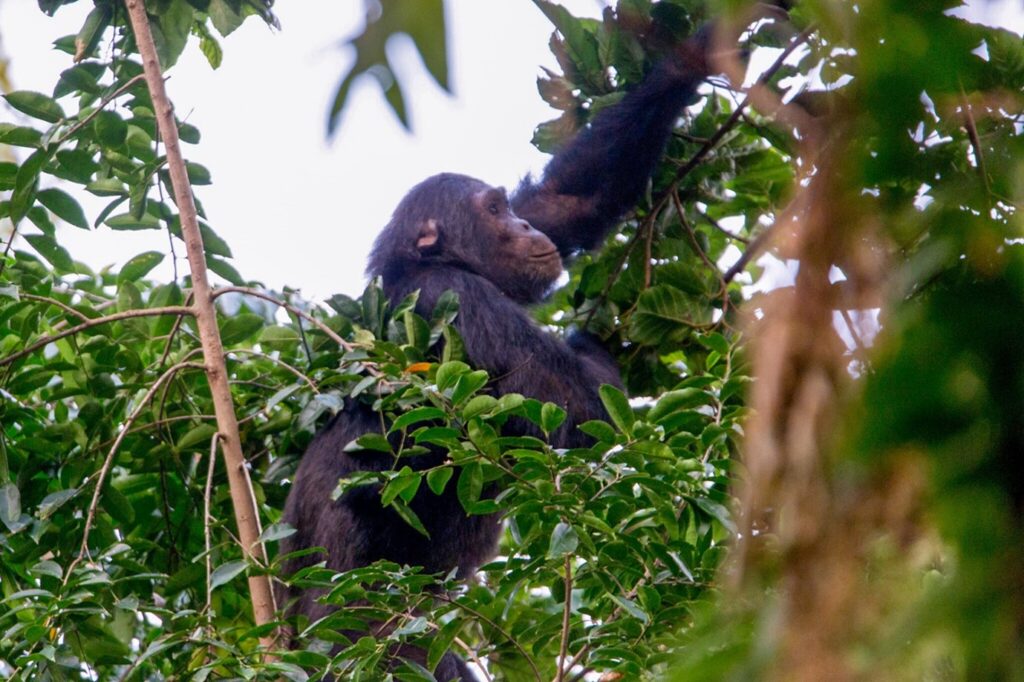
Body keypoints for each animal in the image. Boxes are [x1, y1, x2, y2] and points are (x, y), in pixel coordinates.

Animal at [276, 23, 716, 675]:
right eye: (492, 210)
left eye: (510, 206)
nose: (523, 228)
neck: (428, 263)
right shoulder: (460, 298)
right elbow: (576, 408)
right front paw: (587, 340)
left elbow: (569, 200)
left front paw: (703, 50)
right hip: (364, 632)